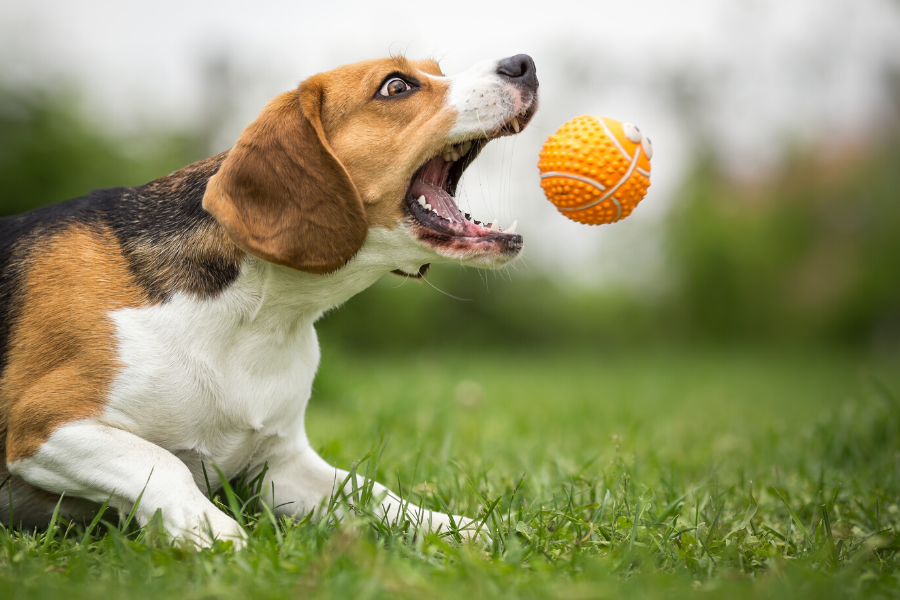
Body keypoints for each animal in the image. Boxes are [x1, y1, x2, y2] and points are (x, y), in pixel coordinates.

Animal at [0, 54, 536, 548]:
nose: (523, 64)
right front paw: (218, 535)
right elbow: (162, 461)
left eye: (436, 70)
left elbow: (369, 491)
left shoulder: (280, 467)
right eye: (396, 86)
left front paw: (455, 528)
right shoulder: (44, 428)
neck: (257, 319)